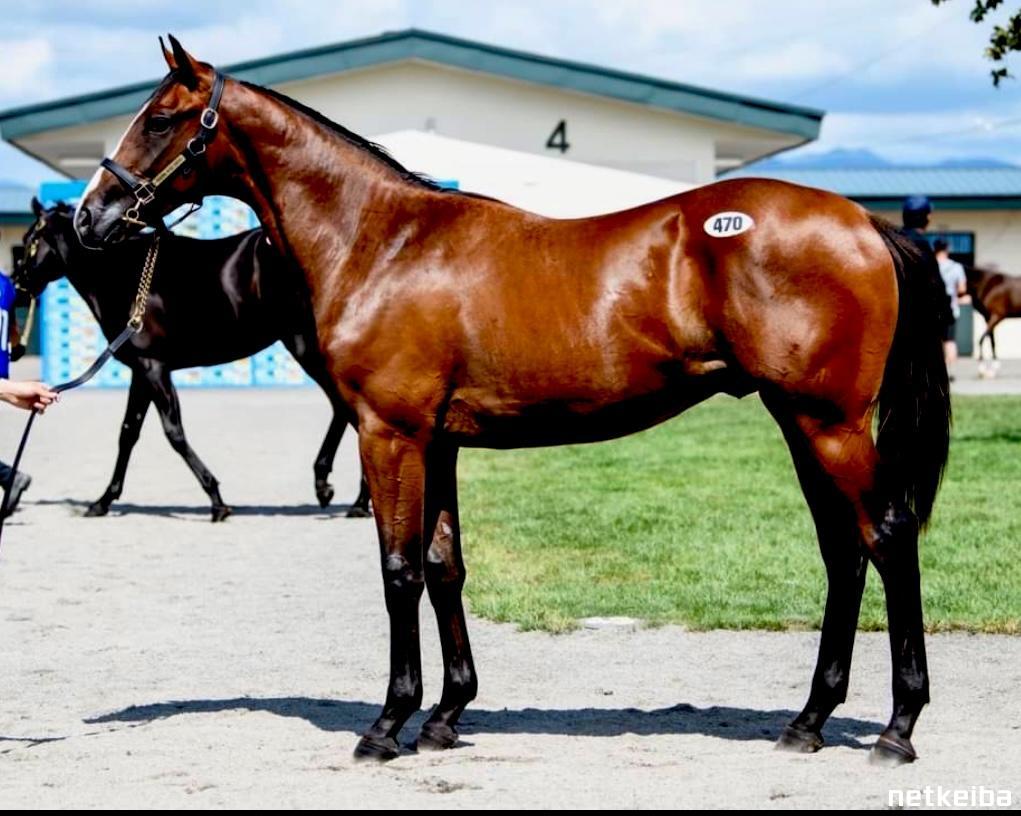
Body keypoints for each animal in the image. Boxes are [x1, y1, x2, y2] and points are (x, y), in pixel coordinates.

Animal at [16, 199, 370, 520]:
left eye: (29, 241)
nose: (18, 289)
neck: (126, 277)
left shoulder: (154, 368)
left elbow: (174, 432)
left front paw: (217, 500)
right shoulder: (141, 371)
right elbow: (128, 432)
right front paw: (103, 501)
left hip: (305, 347)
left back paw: (343, 494)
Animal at [74, 37, 950, 766]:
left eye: (161, 118)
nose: (90, 215)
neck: (381, 241)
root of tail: (863, 222)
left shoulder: (389, 434)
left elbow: (398, 569)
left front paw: (386, 725)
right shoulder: (437, 441)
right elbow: (443, 565)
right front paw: (445, 715)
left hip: (827, 422)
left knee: (886, 535)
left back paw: (897, 729)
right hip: (798, 420)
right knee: (843, 550)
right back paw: (807, 722)